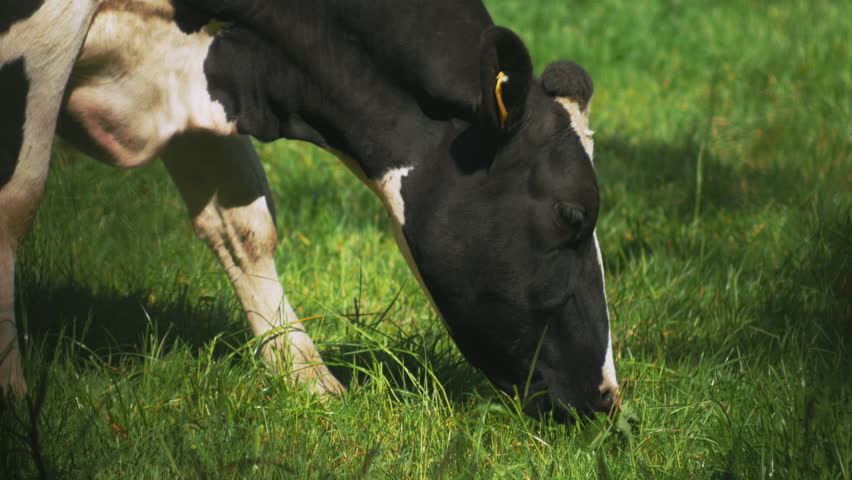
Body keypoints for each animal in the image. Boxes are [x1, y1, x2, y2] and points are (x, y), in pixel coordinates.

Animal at [0, 0, 618, 419]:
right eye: (573, 214)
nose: (607, 396)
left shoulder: (200, 81)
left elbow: (244, 226)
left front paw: (308, 379)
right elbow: (15, 203)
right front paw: (11, 391)